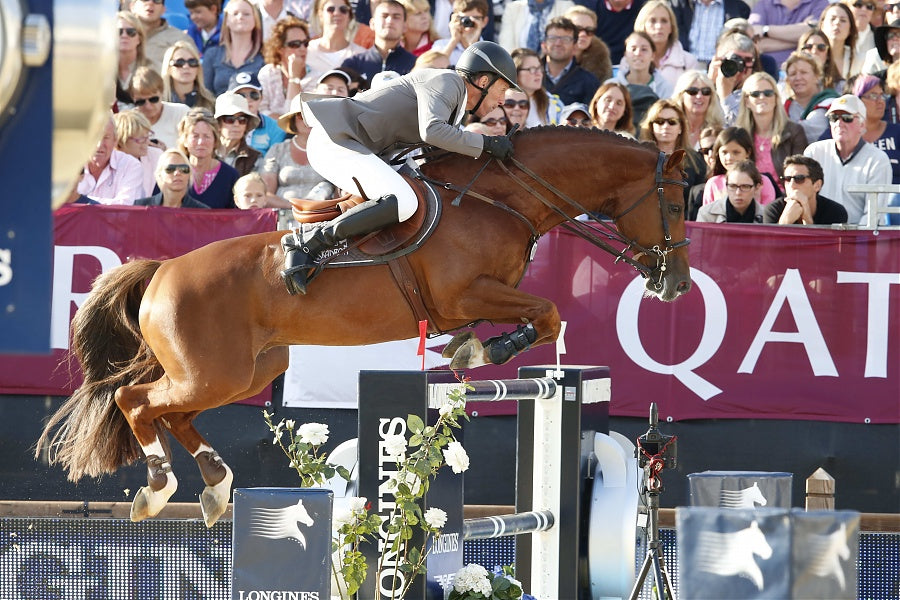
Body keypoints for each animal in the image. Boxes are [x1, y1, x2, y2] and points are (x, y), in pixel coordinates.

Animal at [35, 126, 692, 524]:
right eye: (675, 203)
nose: (678, 286)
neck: (503, 199)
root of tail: (163, 269)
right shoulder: (464, 293)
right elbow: (547, 313)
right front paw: (486, 352)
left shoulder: (474, 300)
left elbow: (536, 316)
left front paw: (469, 349)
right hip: (211, 372)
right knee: (136, 400)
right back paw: (159, 487)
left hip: (246, 371)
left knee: (172, 411)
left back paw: (217, 485)